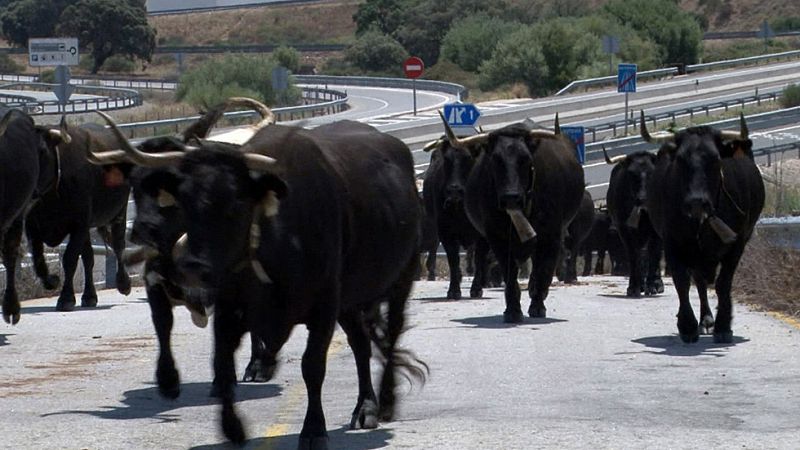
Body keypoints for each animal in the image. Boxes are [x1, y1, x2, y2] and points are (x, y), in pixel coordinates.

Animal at [91, 117, 428, 450]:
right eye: (184, 200)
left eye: (236, 204)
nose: (192, 265)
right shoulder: (228, 305)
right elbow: (218, 360)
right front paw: (231, 426)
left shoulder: (324, 304)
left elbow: (312, 365)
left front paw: (313, 430)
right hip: (349, 302)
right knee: (361, 344)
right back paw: (365, 407)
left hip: (401, 280)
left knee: (392, 334)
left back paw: (384, 402)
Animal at [440, 119, 584, 324]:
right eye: (495, 159)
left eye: (526, 159)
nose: (511, 197)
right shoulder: (497, 238)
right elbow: (509, 273)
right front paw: (513, 310)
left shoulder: (552, 236)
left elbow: (544, 270)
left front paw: (538, 305)